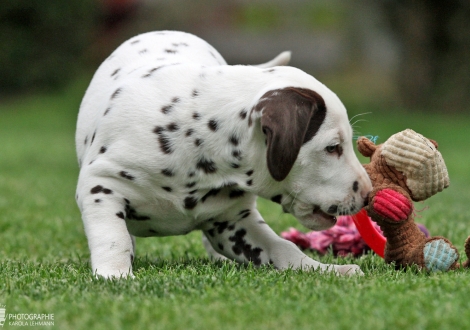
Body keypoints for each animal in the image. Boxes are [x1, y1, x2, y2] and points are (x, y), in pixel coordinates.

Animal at [75, 31, 372, 278]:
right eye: (332, 147)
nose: (369, 195)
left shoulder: (235, 223)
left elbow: (283, 247)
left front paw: (325, 269)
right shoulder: (100, 186)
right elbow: (114, 238)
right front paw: (115, 276)